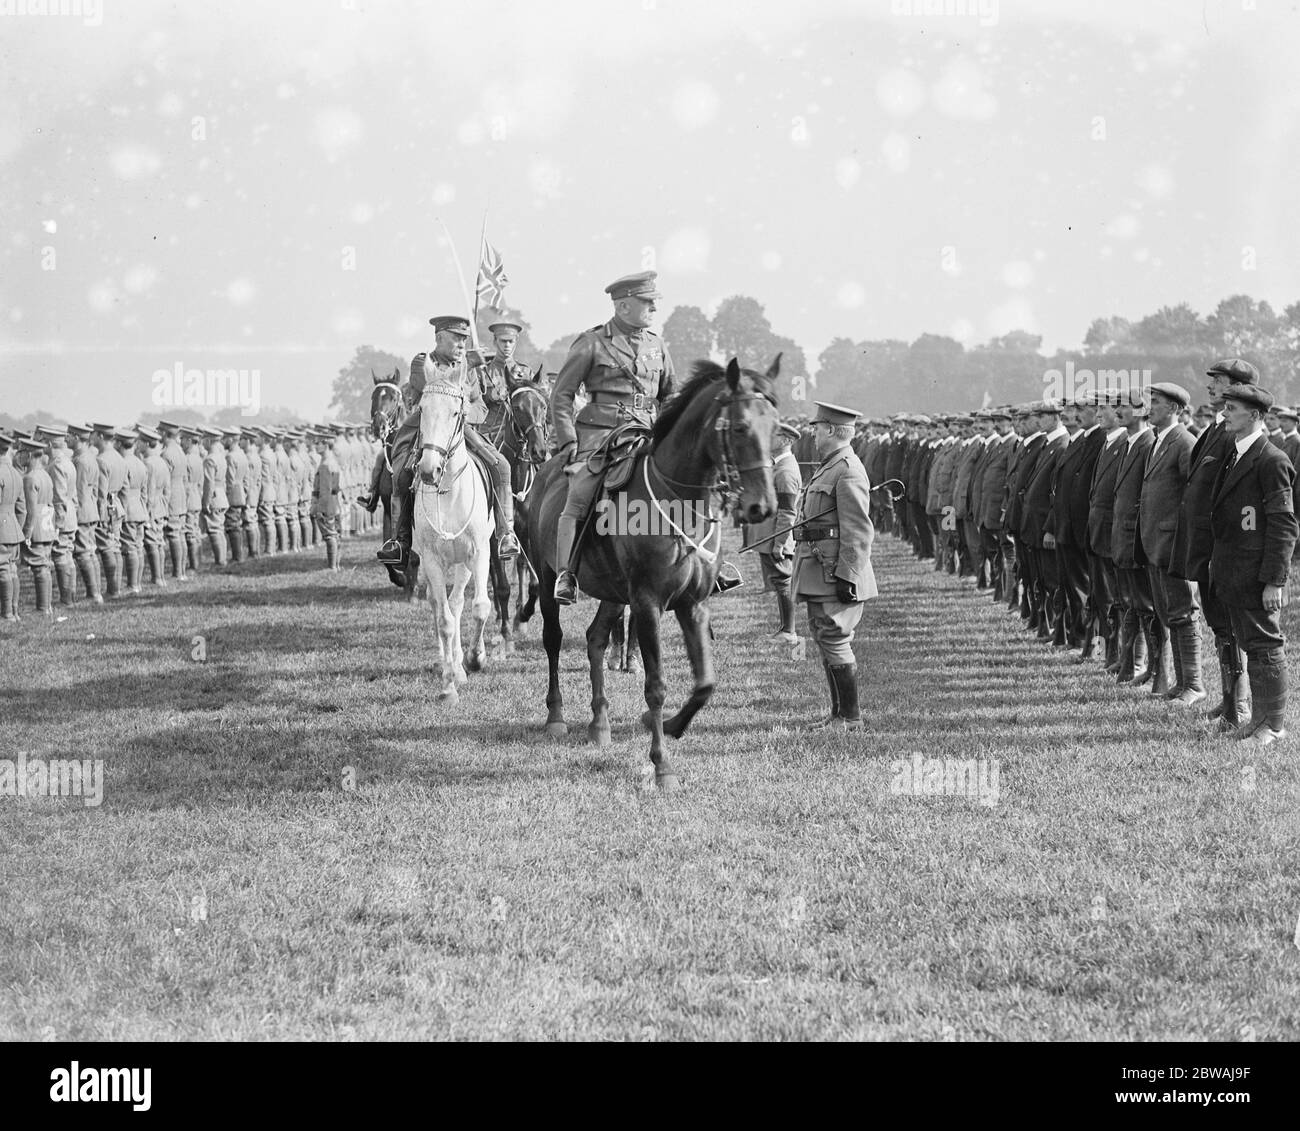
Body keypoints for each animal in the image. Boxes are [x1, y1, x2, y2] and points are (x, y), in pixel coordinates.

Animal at [522, 353, 774, 790]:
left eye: (776, 427)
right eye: (741, 427)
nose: (763, 506)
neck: (682, 502)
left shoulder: (692, 604)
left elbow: (705, 683)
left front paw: (671, 726)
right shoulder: (647, 604)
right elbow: (655, 686)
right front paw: (662, 766)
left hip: (611, 592)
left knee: (595, 639)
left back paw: (600, 723)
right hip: (548, 575)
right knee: (553, 638)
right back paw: (556, 716)